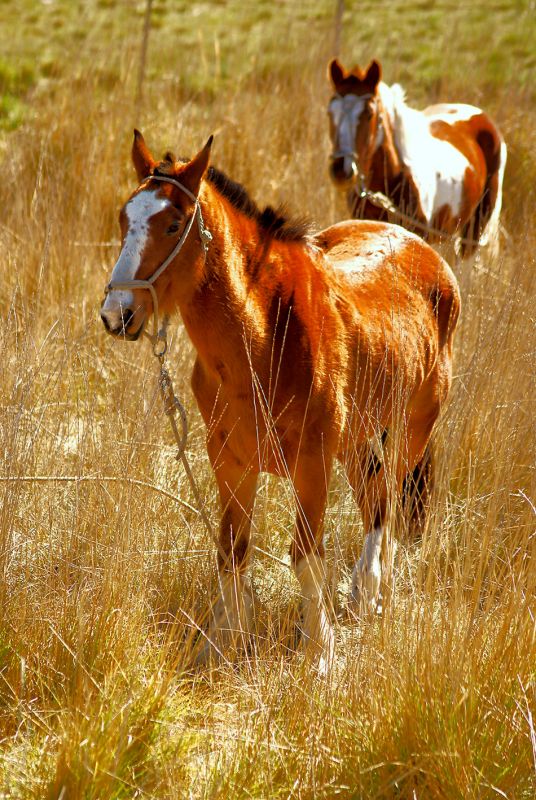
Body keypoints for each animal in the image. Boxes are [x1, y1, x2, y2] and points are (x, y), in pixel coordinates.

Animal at [100, 131, 460, 668]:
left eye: (173, 224)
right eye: (125, 220)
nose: (116, 312)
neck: (265, 337)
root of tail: (421, 247)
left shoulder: (312, 461)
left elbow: (306, 555)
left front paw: (321, 650)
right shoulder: (228, 459)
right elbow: (232, 550)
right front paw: (222, 642)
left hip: (416, 424)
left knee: (391, 505)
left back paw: (372, 589)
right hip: (357, 441)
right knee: (375, 497)